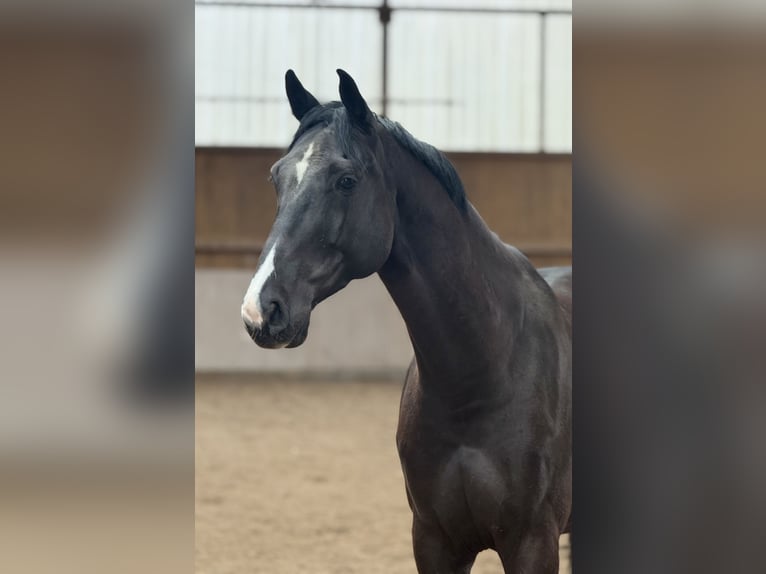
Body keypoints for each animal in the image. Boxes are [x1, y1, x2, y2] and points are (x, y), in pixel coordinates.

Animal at [241, 69, 572, 573]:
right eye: (277, 176)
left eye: (346, 180)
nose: (261, 309)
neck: (484, 372)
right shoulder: (434, 540)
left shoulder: (533, 541)